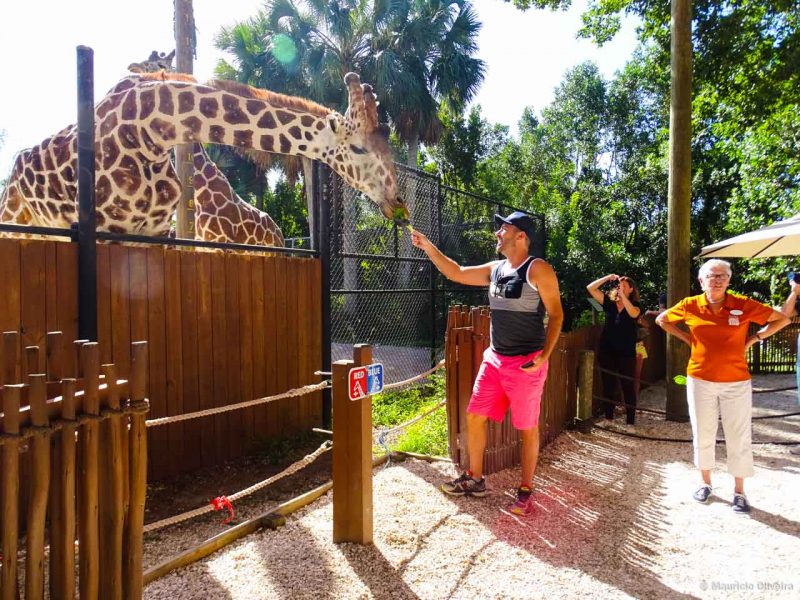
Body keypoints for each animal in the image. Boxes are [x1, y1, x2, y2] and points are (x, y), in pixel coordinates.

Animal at [0, 71, 410, 237]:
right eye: (358, 147)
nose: (397, 203)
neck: (154, 128)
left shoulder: (153, 230)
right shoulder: (106, 228)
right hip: (19, 220)